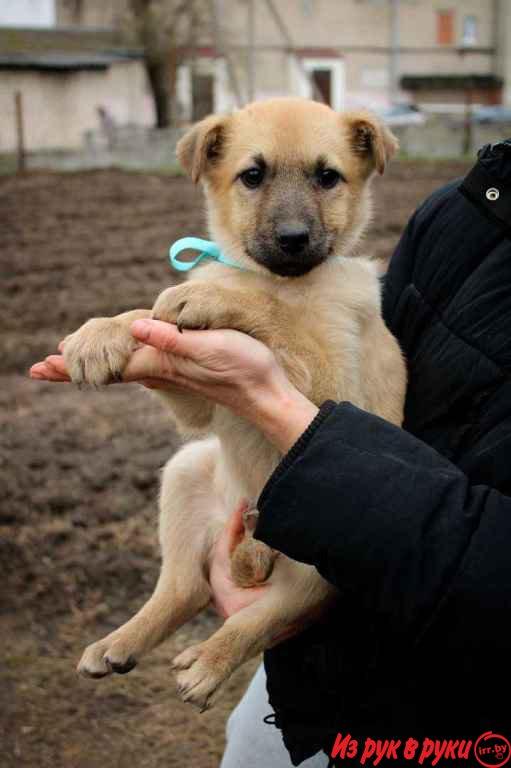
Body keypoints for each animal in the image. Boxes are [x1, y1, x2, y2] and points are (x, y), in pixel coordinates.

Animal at [65, 99, 408, 712]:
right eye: (252, 175)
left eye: (328, 177)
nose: (293, 238)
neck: (282, 280)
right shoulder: (197, 416)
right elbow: (146, 317)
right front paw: (100, 333)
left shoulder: (336, 389)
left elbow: (270, 316)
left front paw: (214, 296)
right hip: (188, 468)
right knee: (185, 585)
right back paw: (119, 643)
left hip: (326, 556)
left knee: (265, 617)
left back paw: (207, 663)